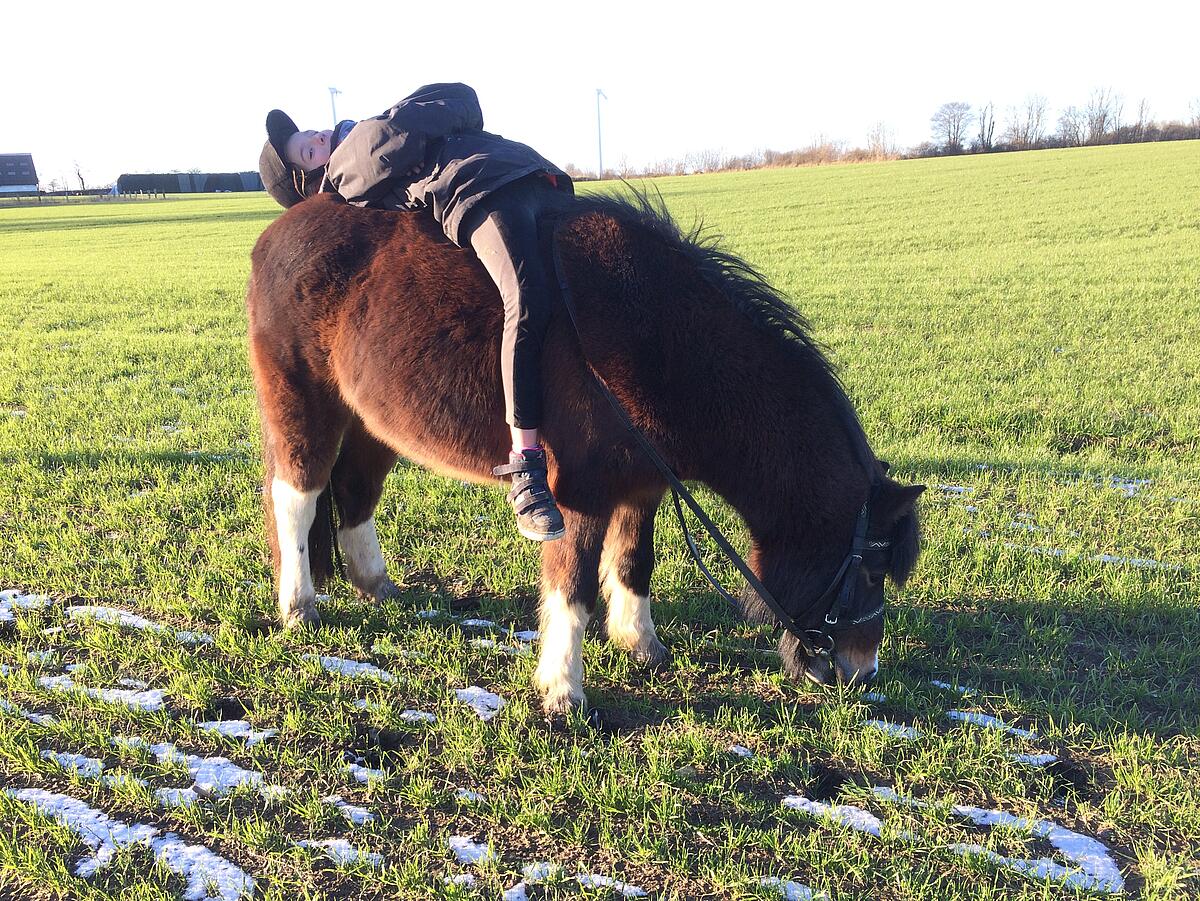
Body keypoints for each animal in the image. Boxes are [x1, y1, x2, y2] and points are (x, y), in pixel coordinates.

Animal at [241, 190, 916, 710]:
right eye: (871, 569)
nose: (862, 673)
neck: (657, 339)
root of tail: (277, 232)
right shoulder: (580, 494)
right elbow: (573, 586)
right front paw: (564, 691)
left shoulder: (641, 487)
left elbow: (634, 564)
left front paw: (642, 645)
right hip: (302, 398)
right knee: (297, 496)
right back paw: (298, 606)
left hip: (373, 421)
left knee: (354, 491)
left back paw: (375, 585)